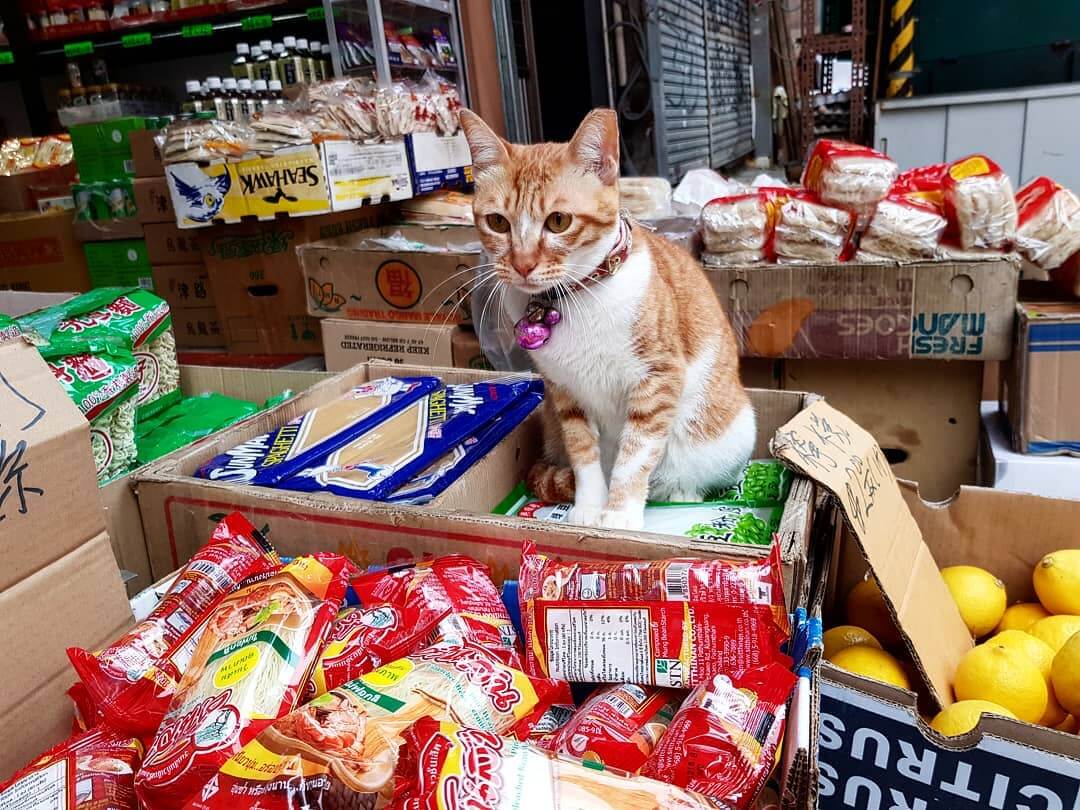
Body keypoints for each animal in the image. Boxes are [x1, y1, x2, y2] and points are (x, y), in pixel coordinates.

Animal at [459, 107, 756, 531]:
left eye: (559, 221)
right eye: (498, 222)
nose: (523, 264)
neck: (574, 297)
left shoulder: (656, 382)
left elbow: (633, 457)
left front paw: (618, 516)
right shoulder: (564, 393)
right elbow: (584, 454)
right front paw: (587, 508)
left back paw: (679, 493)